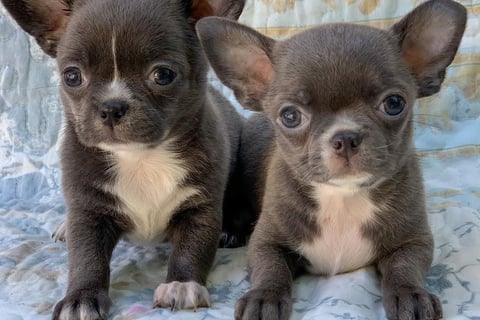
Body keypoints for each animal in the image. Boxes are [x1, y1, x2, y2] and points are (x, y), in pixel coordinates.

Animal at [0, 0, 248, 318]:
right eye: (72, 76)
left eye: (163, 75)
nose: (111, 107)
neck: (141, 157)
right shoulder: (87, 213)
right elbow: (87, 258)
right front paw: (80, 297)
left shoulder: (200, 209)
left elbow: (192, 248)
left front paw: (181, 285)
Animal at [197, 1, 466, 318]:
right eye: (290, 116)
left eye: (394, 103)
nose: (345, 136)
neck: (343, 196)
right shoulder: (266, 243)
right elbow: (270, 268)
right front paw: (263, 298)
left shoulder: (414, 241)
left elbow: (405, 267)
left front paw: (410, 295)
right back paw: (230, 232)